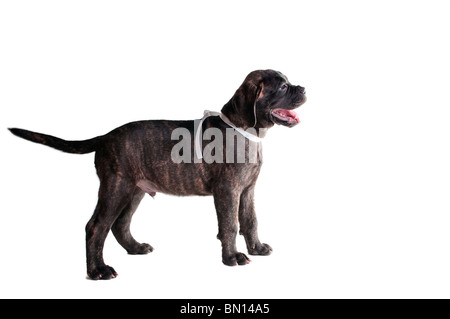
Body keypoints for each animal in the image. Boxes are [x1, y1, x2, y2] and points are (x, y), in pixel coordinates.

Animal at [8, 70, 308, 280]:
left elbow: (250, 220)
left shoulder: (247, 190)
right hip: (116, 187)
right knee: (96, 227)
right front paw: (232, 256)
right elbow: (230, 225)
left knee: (120, 224)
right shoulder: (228, 190)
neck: (246, 130)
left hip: (134, 190)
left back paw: (135, 248)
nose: (304, 87)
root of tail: (105, 137)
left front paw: (256, 248)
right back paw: (98, 271)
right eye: (282, 86)